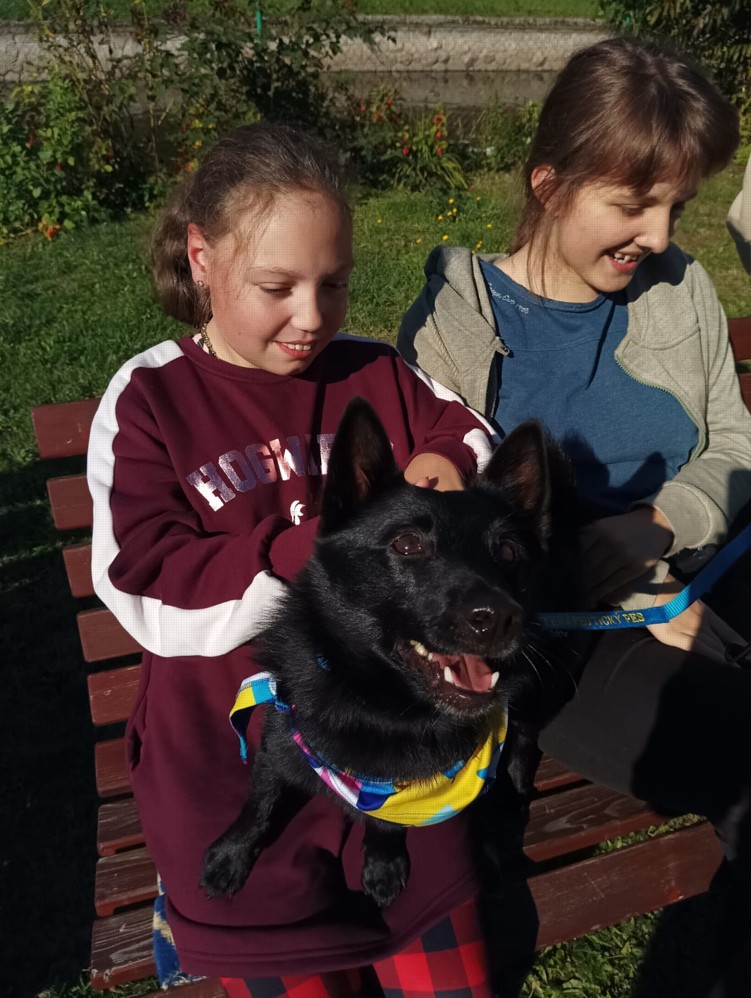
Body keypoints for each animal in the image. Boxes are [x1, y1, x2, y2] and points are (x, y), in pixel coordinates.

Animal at [200, 398, 582, 908]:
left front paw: (382, 863)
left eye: (507, 551)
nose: (502, 617)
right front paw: (233, 852)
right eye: (406, 544)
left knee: (522, 736)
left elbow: (386, 822)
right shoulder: (282, 733)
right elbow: (260, 797)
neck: (374, 702)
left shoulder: (397, 790)